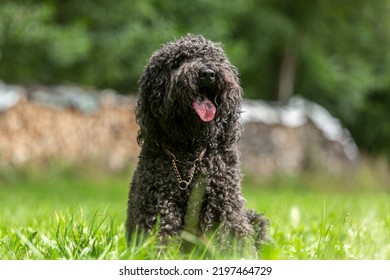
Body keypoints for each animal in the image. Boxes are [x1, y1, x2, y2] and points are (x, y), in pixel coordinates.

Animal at [126, 34, 270, 253]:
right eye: (178, 62)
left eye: (215, 59)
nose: (208, 74)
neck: (190, 152)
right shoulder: (159, 205)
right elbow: (160, 238)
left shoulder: (225, 203)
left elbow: (236, 237)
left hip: (255, 219)